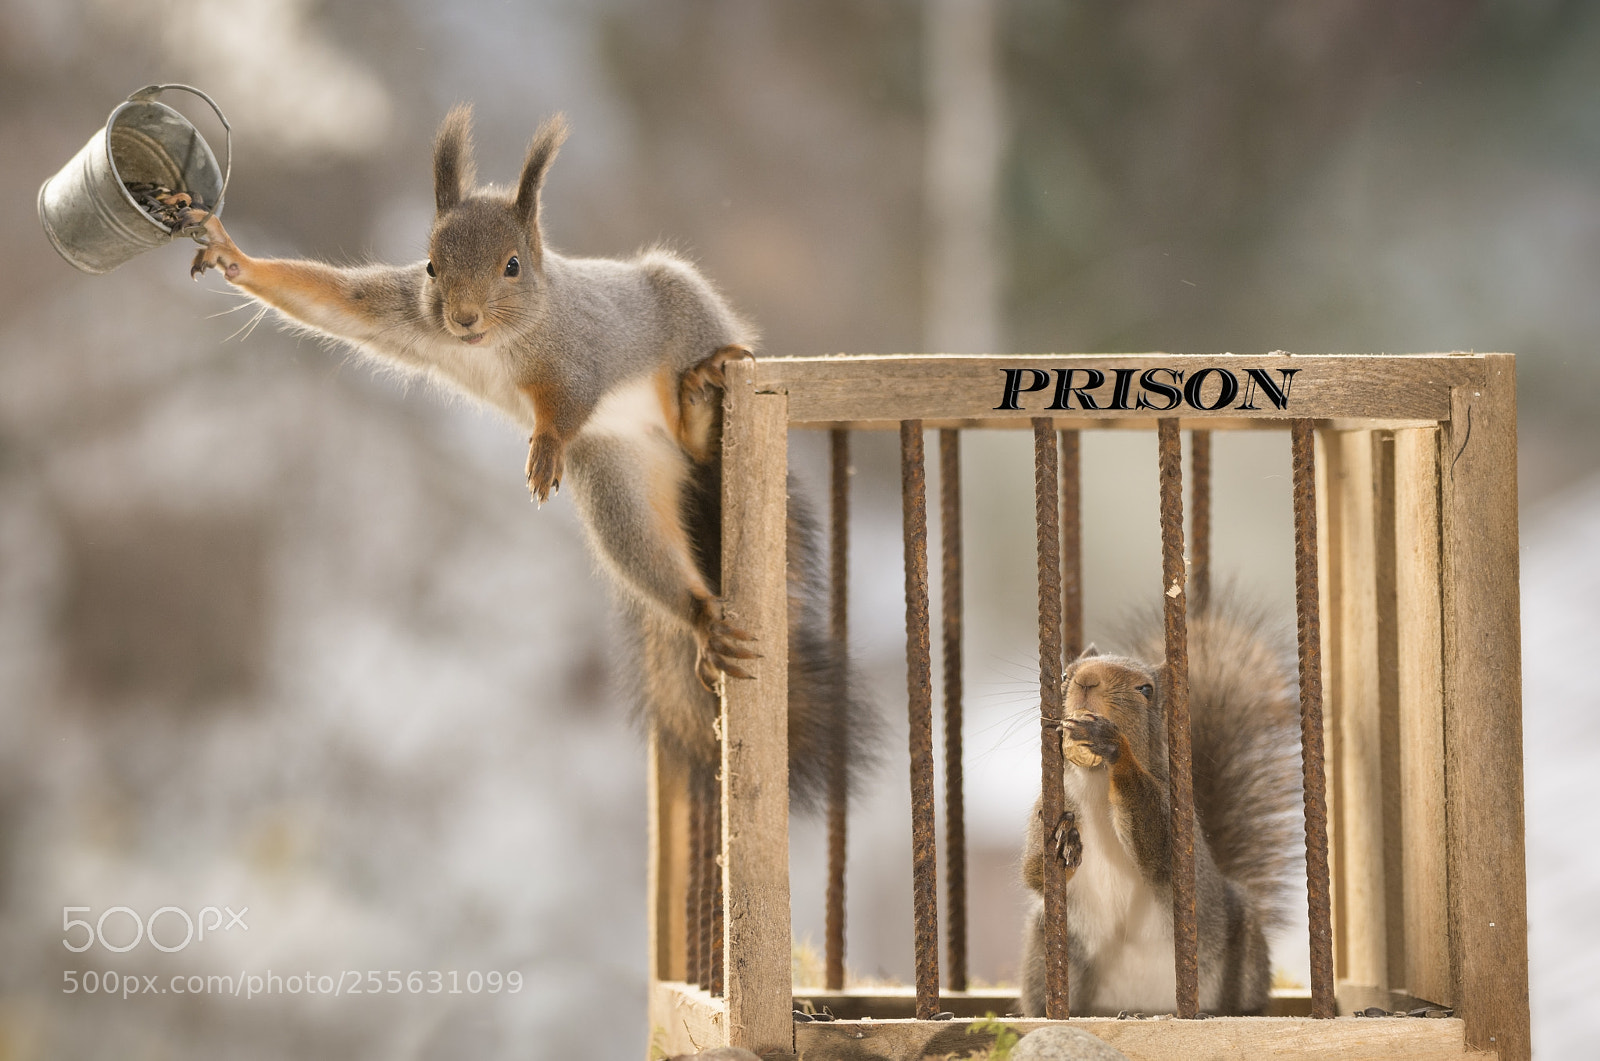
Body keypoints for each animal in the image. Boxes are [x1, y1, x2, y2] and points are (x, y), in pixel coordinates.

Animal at [180, 106, 873, 809]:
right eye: (430, 267)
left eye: (512, 265)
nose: (462, 318)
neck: (498, 338)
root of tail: (674, 451)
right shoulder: (402, 315)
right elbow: (333, 301)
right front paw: (234, 257)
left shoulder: (578, 354)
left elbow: (565, 403)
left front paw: (543, 448)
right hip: (617, 476)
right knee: (644, 549)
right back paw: (703, 616)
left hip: (685, 315)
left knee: (695, 392)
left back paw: (703, 412)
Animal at [1019, 598, 1303, 1017]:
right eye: (1065, 677)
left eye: (1146, 690)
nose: (1086, 680)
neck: (1095, 782)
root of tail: (1145, 1004)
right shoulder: (1047, 802)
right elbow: (1034, 876)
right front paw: (1065, 841)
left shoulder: (1175, 822)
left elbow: (1160, 847)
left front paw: (1111, 743)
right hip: (1045, 944)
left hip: (1243, 945)